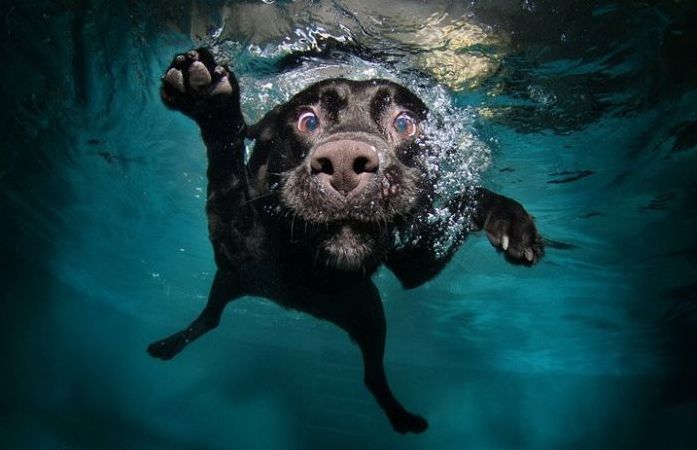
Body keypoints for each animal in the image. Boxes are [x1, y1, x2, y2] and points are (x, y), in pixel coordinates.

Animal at [148, 47, 544, 434]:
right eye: (307, 121)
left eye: (405, 123)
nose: (342, 164)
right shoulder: (234, 239)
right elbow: (227, 171)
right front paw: (211, 101)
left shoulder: (416, 262)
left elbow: (466, 199)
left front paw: (510, 219)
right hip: (233, 281)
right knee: (211, 318)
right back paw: (168, 345)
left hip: (368, 314)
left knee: (372, 376)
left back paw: (402, 417)